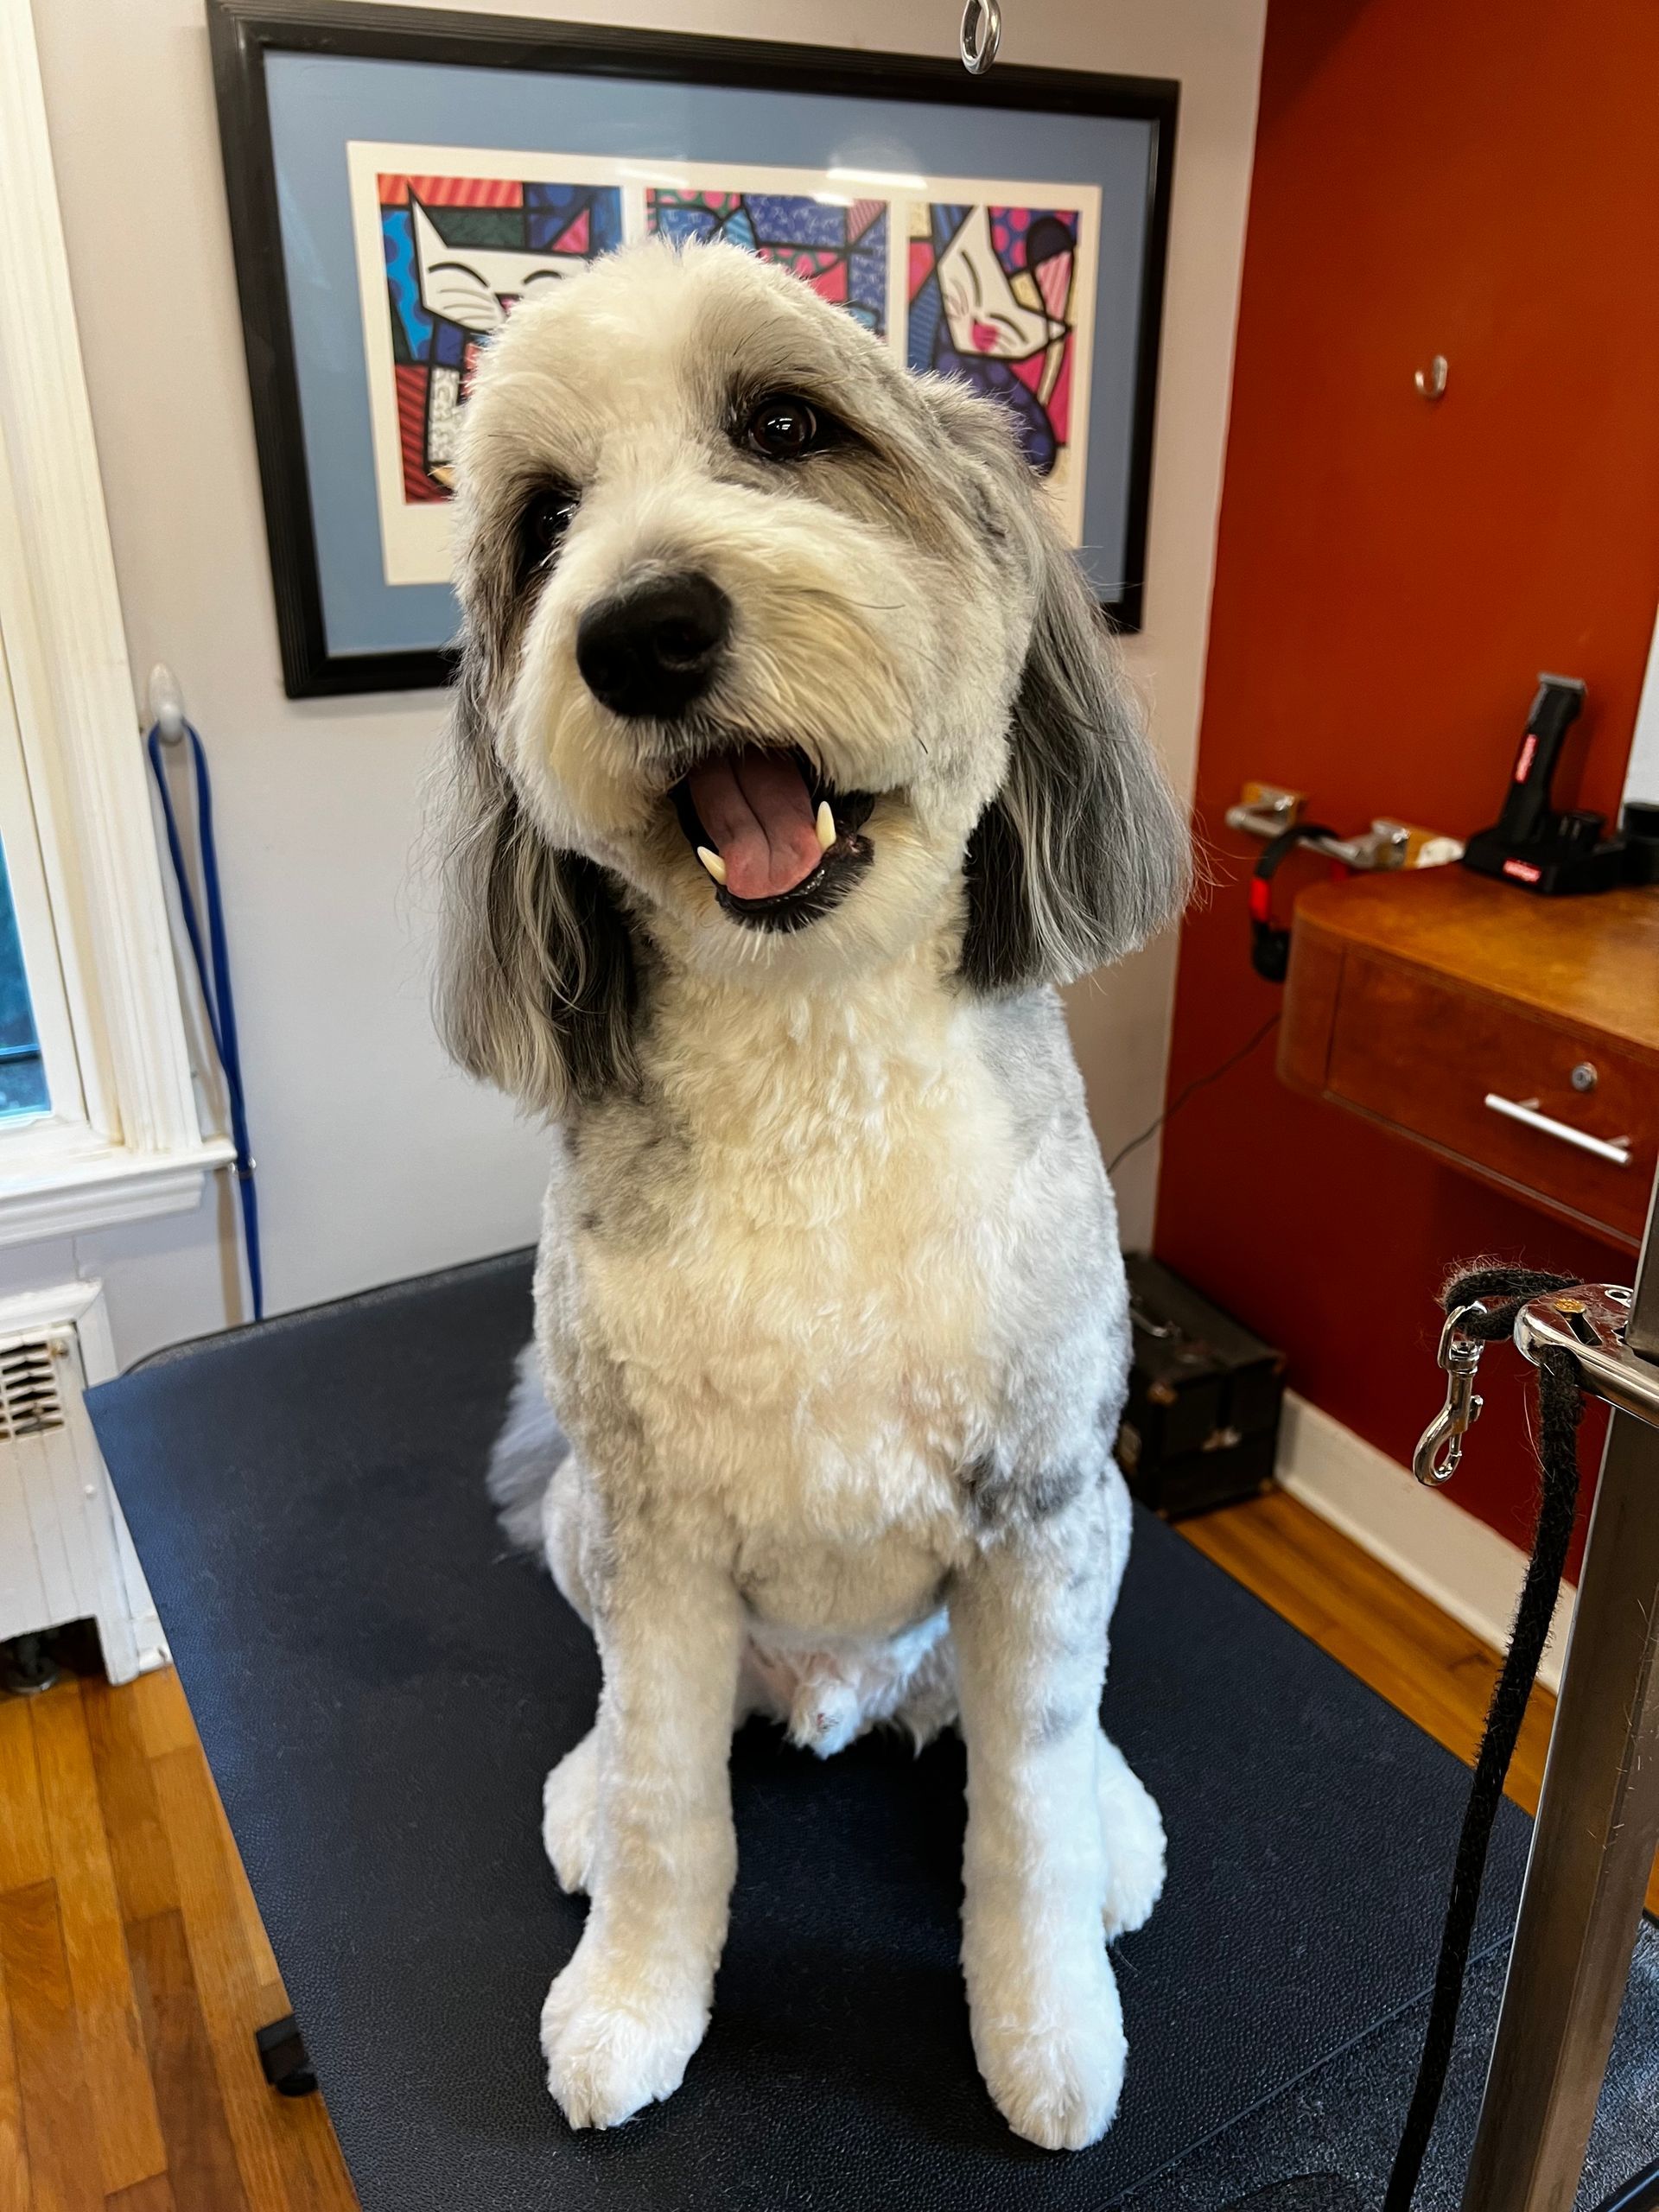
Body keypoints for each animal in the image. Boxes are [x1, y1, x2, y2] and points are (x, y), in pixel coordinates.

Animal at [435, 238, 1194, 2141]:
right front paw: (633, 2001)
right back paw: (589, 1779)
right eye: (545, 525)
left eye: (784, 425)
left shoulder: (1041, 1510)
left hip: (1087, 1531)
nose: (639, 630)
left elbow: (1022, 1818)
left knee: (1032, 1729)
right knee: (642, 1725)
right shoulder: (656, 1536)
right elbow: (667, 1815)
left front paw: (1047, 2029)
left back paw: (1110, 1814)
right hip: (590, 1527)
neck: (814, 1054)